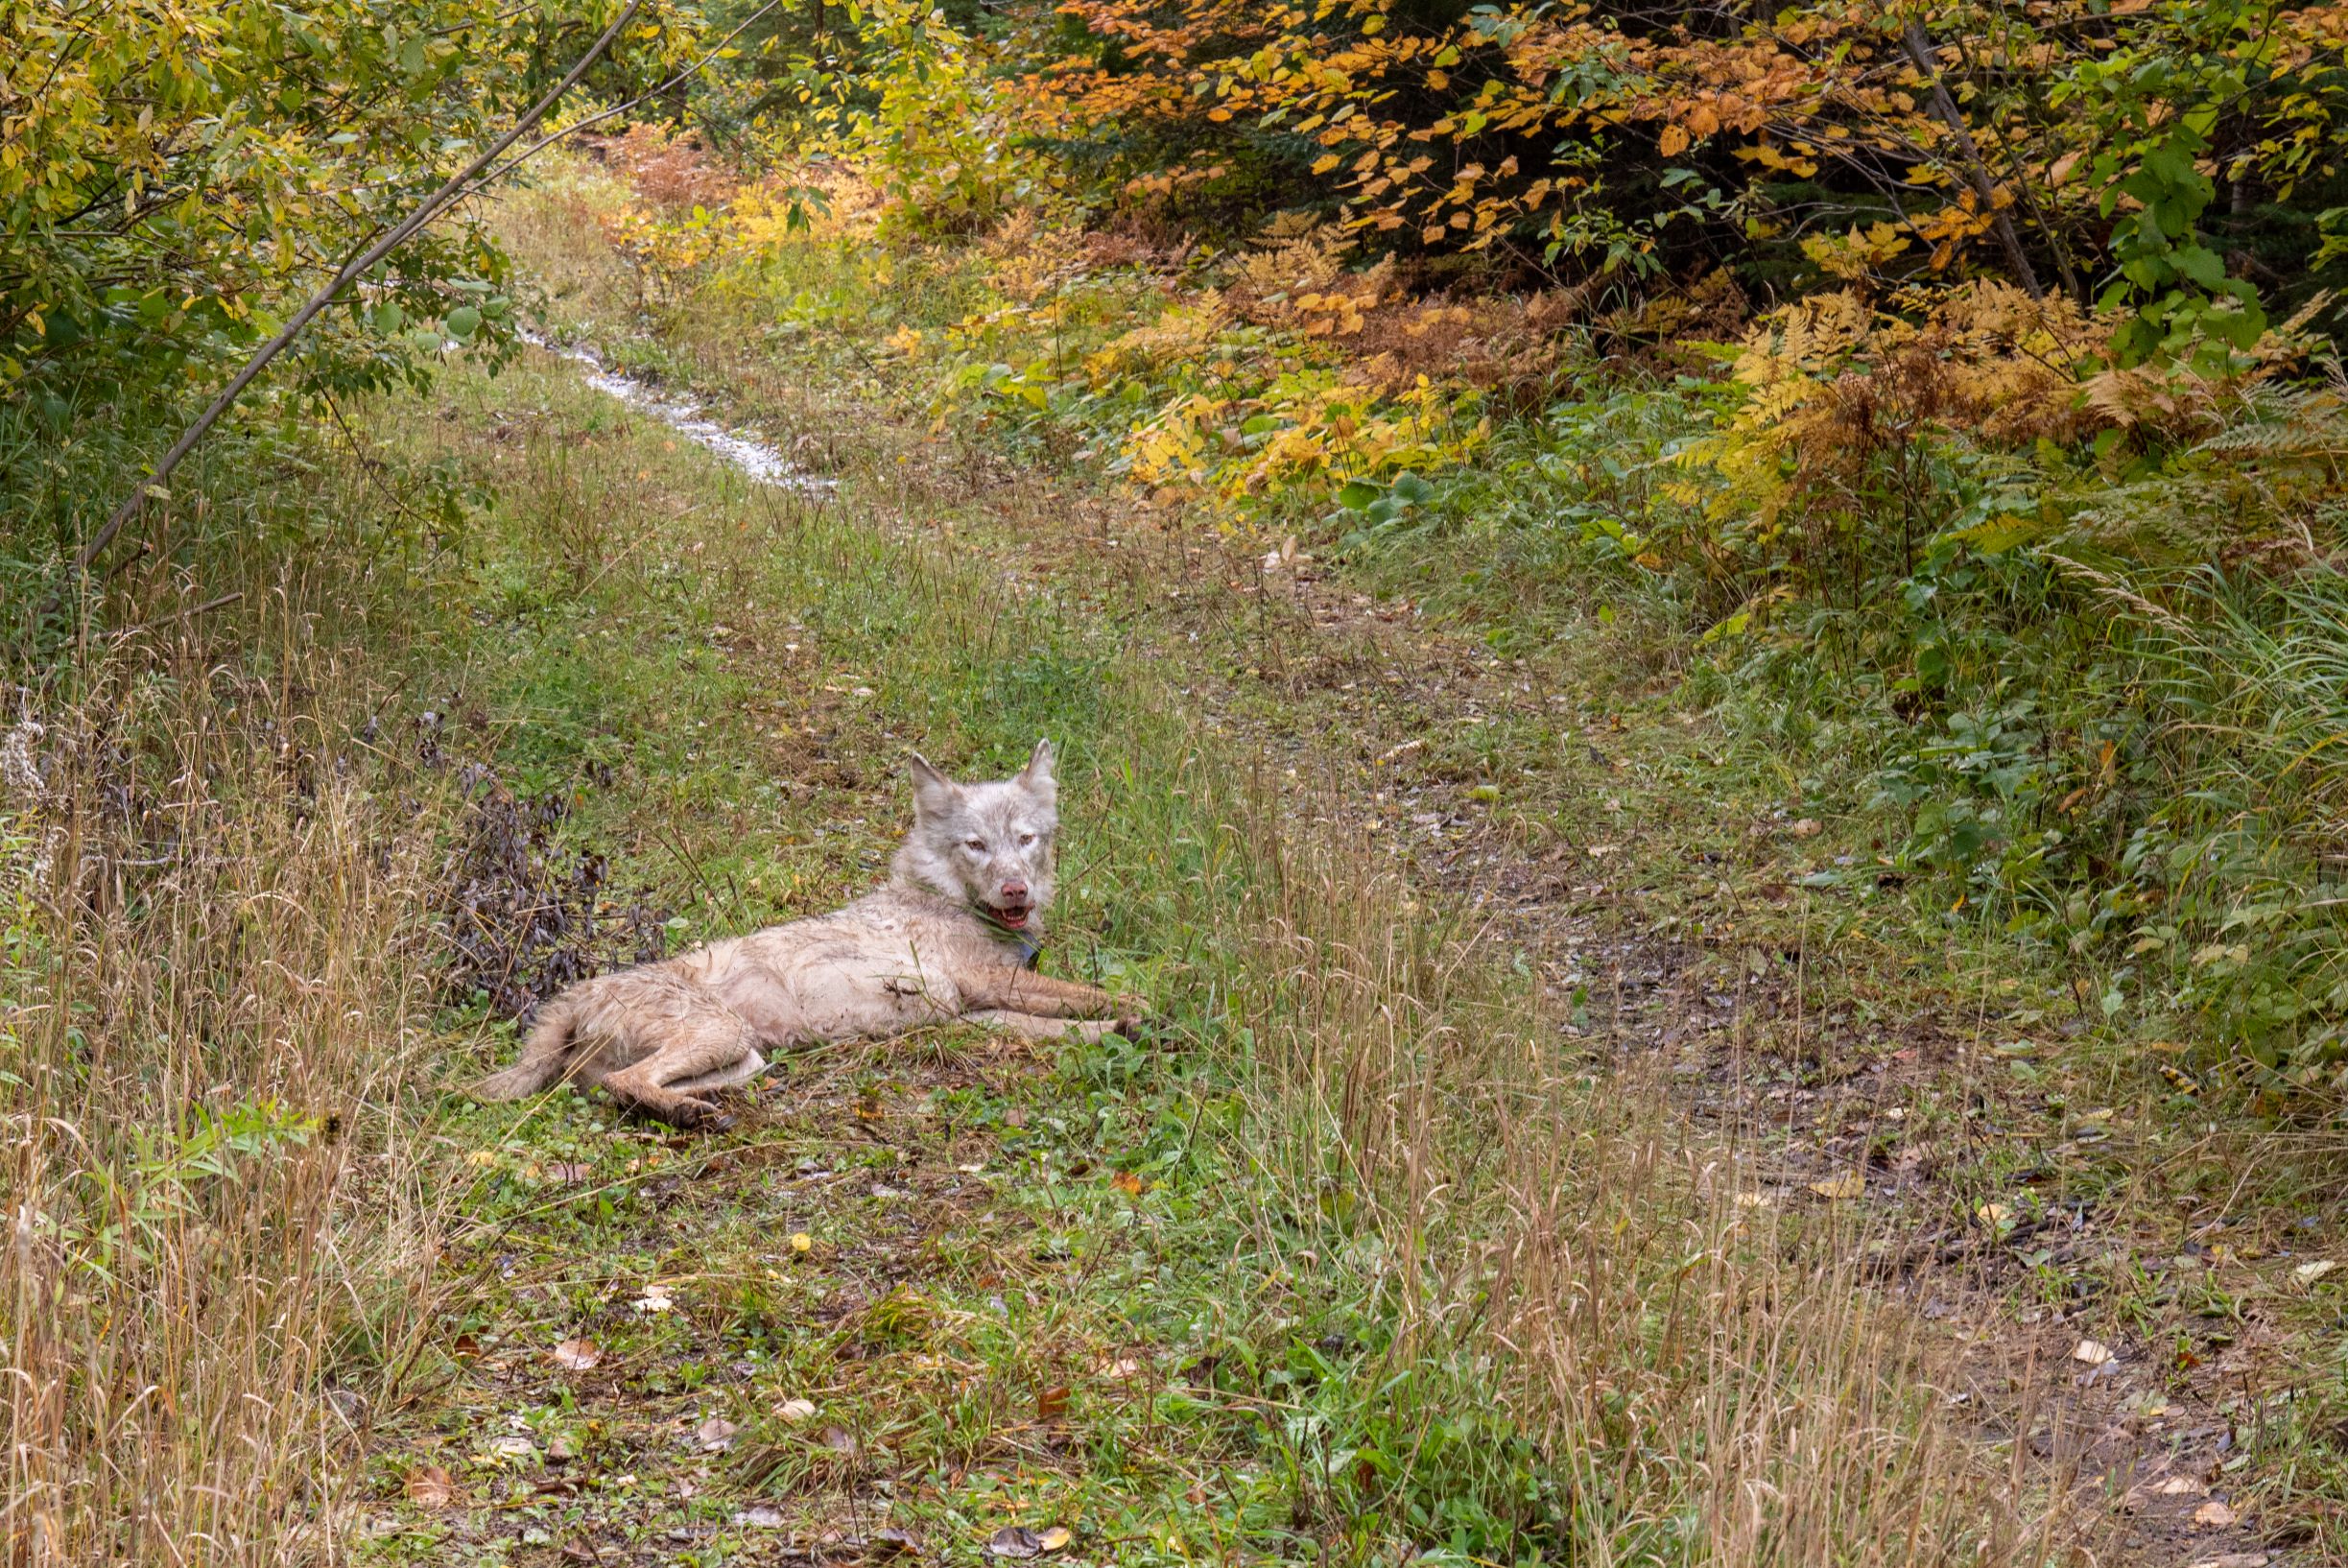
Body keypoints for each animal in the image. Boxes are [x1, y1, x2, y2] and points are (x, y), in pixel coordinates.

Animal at [475, 740, 1141, 1129]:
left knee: (616, 1089)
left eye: (1025, 839)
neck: (943, 898)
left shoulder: (972, 1011)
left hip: (745, 1057)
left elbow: (1070, 1025)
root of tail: (574, 994)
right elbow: (1098, 995)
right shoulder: (988, 984)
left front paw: (1121, 1029)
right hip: (721, 1035)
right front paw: (1147, 1011)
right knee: (624, 1084)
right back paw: (692, 1118)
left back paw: (693, 1109)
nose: (1015, 891)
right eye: (976, 845)